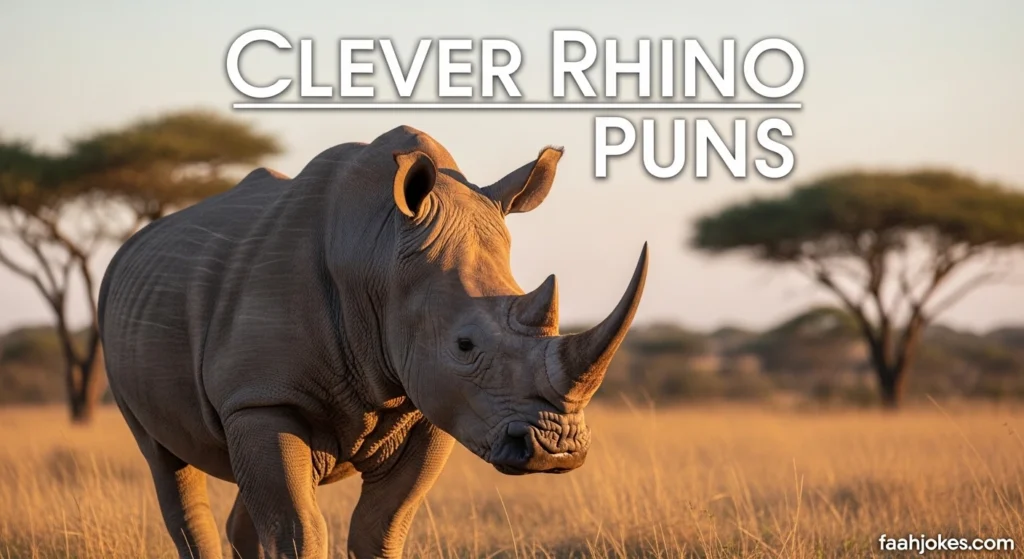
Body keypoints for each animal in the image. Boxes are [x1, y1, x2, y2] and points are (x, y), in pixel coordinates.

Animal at [98, 125, 648, 559]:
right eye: (464, 345)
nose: (557, 450)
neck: (381, 256)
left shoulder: (431, 406)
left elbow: (381, 528)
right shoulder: (263, 396)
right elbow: (299, 532)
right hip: (118, 326)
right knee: (166, 464)